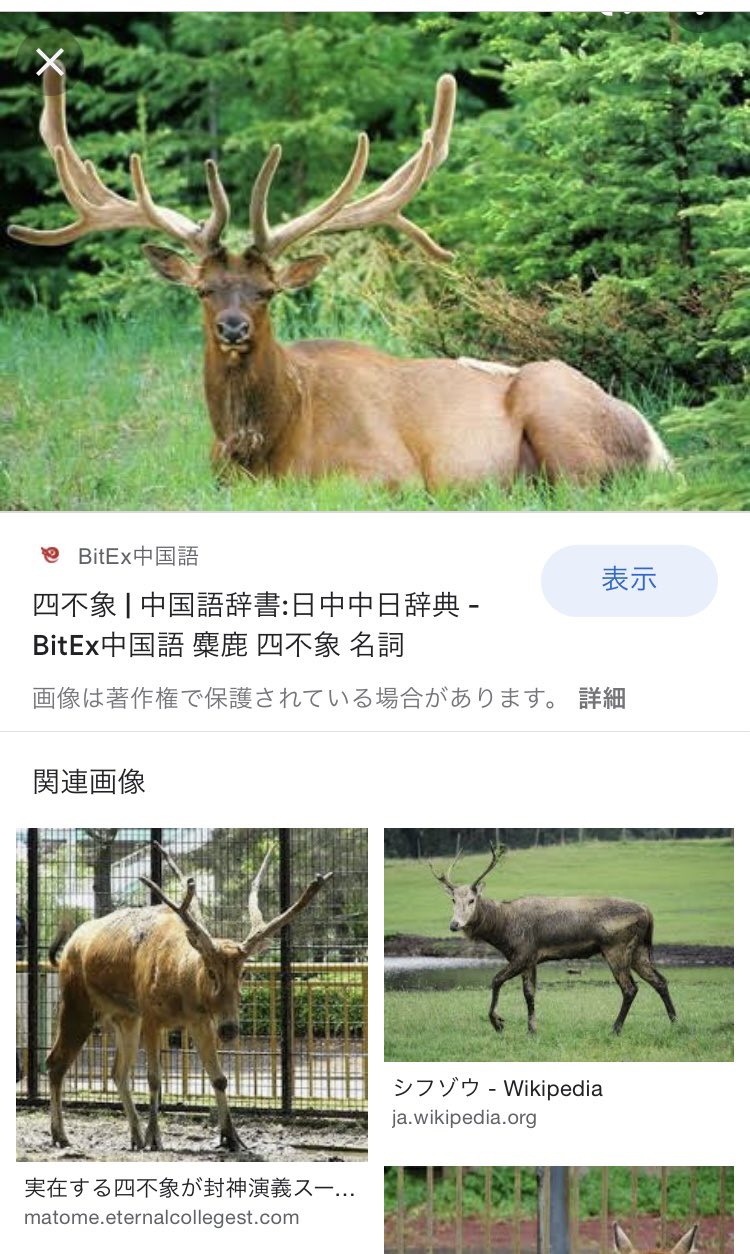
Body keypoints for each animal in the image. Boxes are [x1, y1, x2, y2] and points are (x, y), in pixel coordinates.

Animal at [8, 69, 672, 488]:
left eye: (267, 292)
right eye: (203, 290)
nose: (232, 327)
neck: (265, 448)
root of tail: (657, 444)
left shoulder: (387, 473)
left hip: (555, 407)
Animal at [46, 841, 331, 1153]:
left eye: (243, 972)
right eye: (210, 971)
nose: (230, 1029)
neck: (180, 994)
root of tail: (66, 949)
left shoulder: (199, 1020)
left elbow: (219, 1078)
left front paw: (232, 1138)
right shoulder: (151, 1015)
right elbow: (154, 1079)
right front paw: (155, 1138)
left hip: (125, 1016)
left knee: (117, 1072)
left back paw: (134, 1137)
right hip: (77, 1002)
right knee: (55, 1062)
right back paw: (61, 1135)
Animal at [427, 840, 677, 1035]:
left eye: (471, 900)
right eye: (453, 900)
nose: (454, 924)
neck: (503, 931)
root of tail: (648, 912)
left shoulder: (523, 952)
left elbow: (496, 980)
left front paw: (498, 1023)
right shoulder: (530, 959)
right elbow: (529, 993)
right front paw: (531, 1030)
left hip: (616, 948)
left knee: (630, 988)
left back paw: (615, 1029)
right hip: (638, 950)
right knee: (660, 981)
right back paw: (675, 1022)